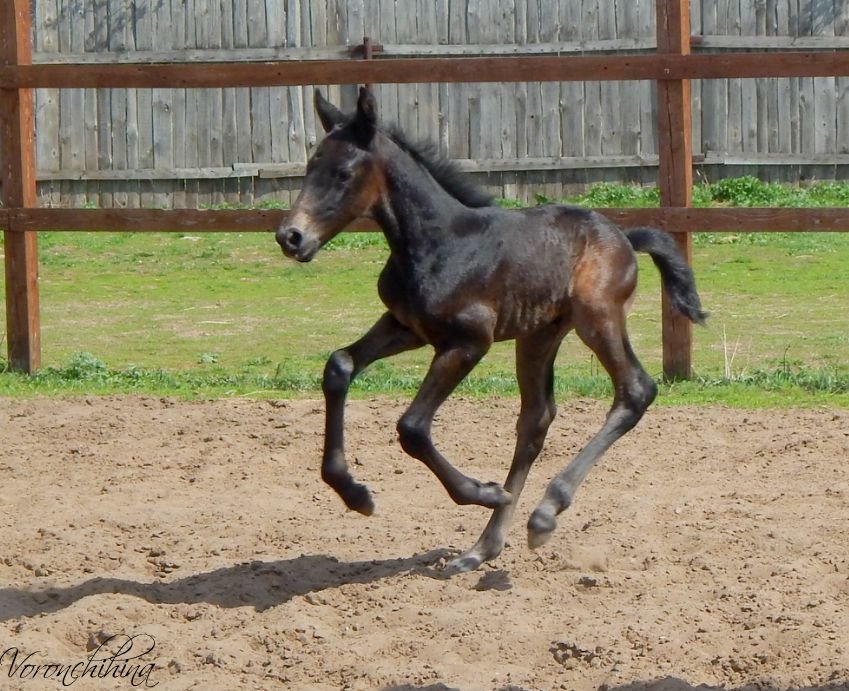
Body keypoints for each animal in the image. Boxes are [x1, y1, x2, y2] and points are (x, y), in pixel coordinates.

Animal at [274, 88, 704, 572]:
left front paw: (483, 492)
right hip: (538, 335)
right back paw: (485, 545)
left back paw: (543, 511)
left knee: (635, 390)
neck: (437, 242)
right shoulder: (406, 326)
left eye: (344, 173)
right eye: (310, 166)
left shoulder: (467, 342)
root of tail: (627, 238)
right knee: (536, 419)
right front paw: (355, 494)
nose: (290, 237)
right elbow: (339, 365)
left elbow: (412, 427)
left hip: (597, 317)